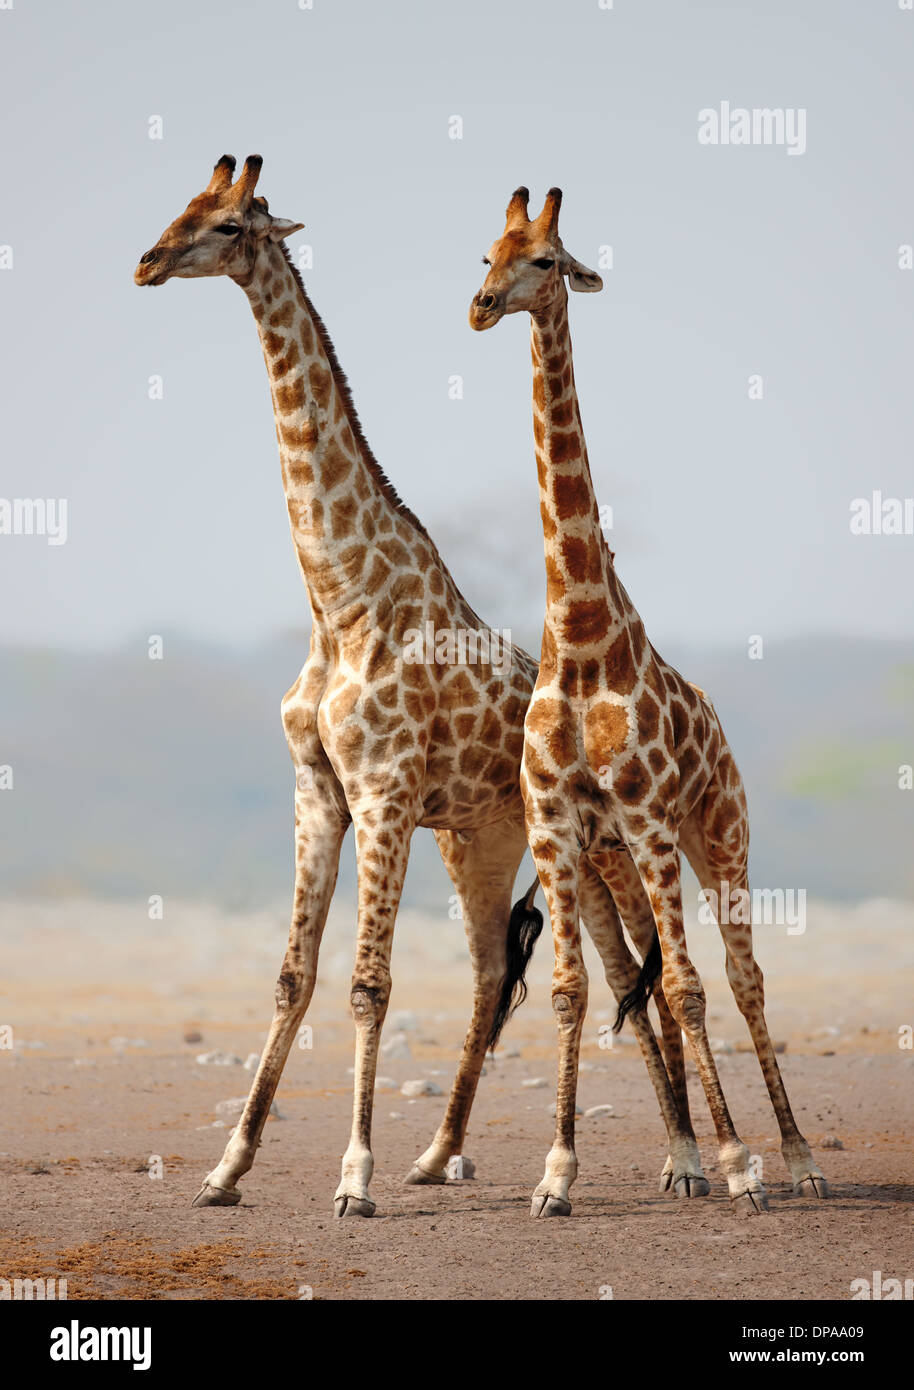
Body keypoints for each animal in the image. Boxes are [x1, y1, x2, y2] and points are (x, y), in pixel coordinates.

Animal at [133, 154, 691, 1217]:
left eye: (228, 226)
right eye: (183, 204)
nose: (145, 261)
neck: (341, 598)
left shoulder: (384, 792)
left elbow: (368, 984)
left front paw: (353, 1178)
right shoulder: (318, 788)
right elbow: (292, 976)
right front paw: (227, 1168)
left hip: (600, 847)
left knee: (634, 969)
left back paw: (688, 1156)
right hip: (485, 841)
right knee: (501, 972)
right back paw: (442, 1155)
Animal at [469, 187, 827, 1217]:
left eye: (547, 260)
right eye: (486, 252)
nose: (481, 307)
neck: (584, 640)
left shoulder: (653, 819)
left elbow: (704, 988)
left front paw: (744, 1165)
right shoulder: (559, 825)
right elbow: (573, 992)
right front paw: (557, 1175)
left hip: (719, 838)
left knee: (743, 977)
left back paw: (792, 1159)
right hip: (617, 863)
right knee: (649, 980)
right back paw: (683, 1159)